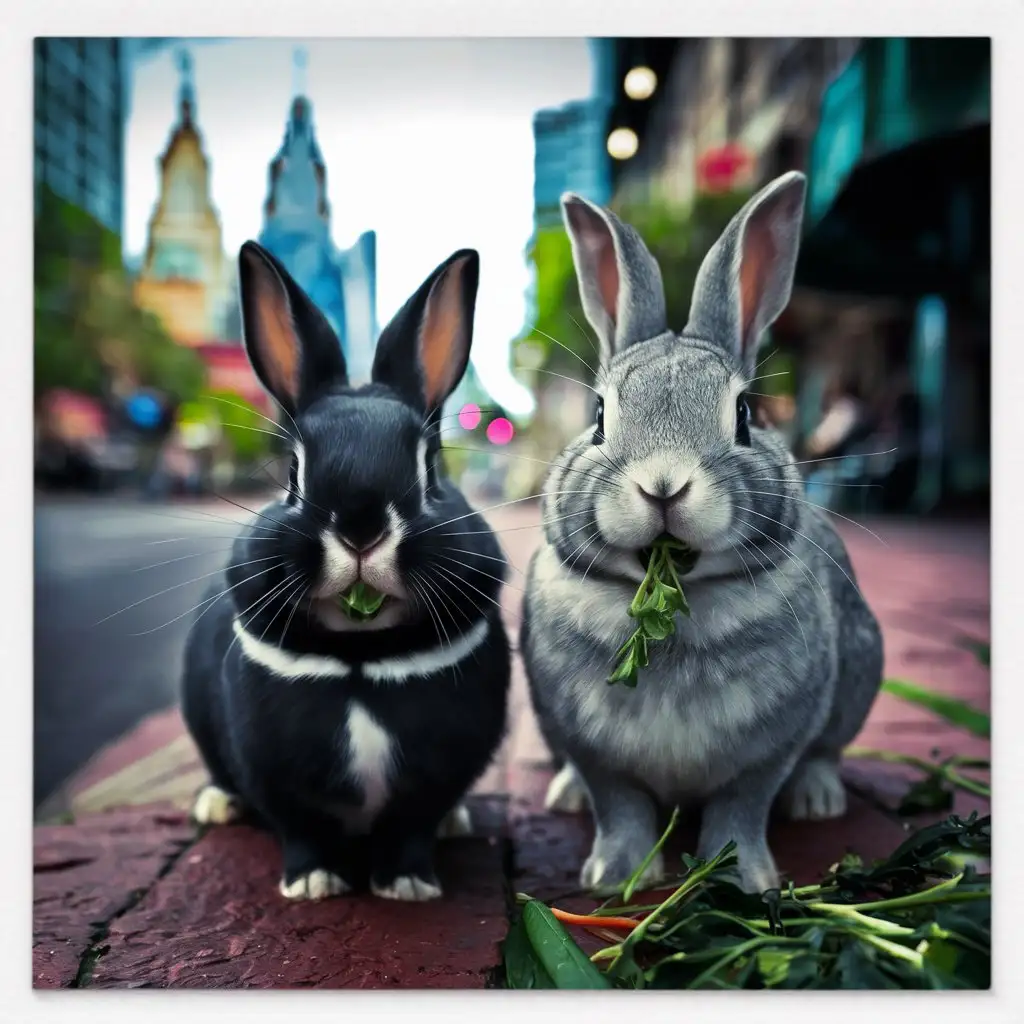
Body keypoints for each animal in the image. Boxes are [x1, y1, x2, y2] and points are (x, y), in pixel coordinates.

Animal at [524, 172, 884, 892]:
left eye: (745, 414)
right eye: (598, 416)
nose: (664, 485)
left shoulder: (768, 753)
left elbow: (742, 809)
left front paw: (745, 880)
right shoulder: (595, 752)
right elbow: (621, 806)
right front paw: (613, 877)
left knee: (826, 752)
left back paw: (818, 799)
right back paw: (566, 795)